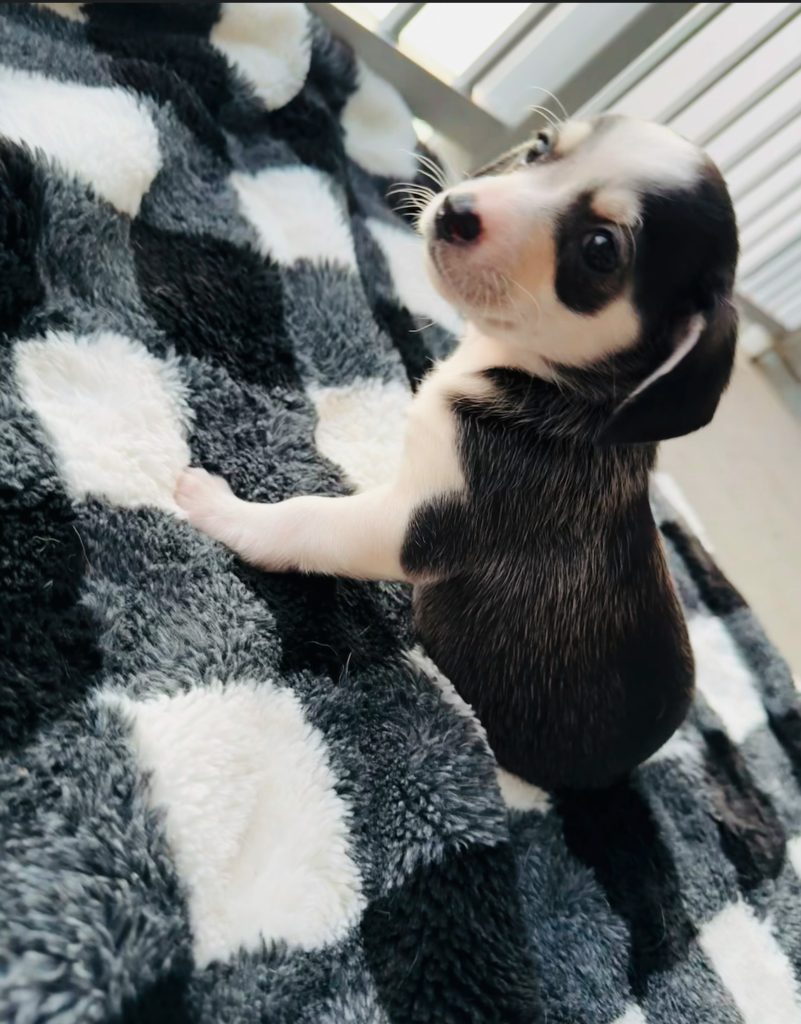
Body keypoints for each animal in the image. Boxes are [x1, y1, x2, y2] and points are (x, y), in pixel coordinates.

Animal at [176, 114, 741, 790]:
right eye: (539, 148)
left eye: (601, 249)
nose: (455, 212)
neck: (546, 380)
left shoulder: (414, 524)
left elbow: (304, 520)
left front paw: (221, 509)